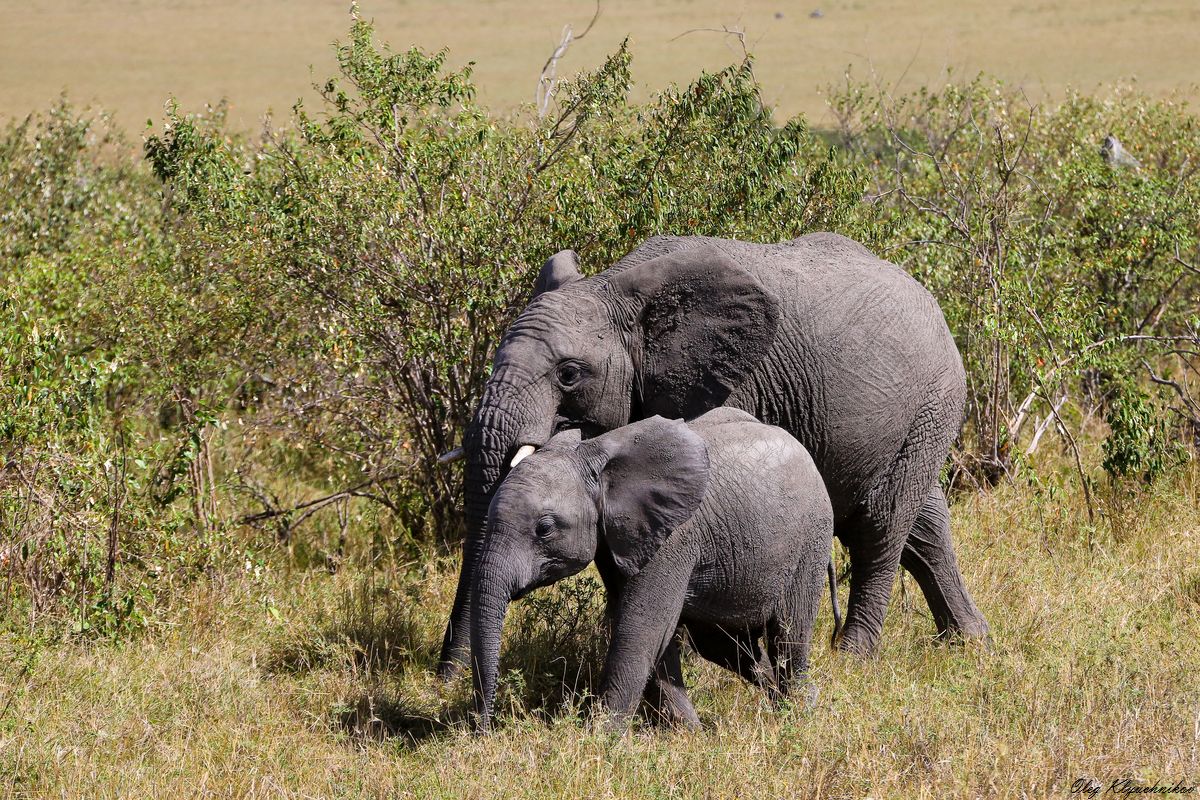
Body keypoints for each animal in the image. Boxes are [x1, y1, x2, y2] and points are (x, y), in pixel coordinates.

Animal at [436, 231, 988, 676]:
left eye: (569, 374)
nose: (446, 678)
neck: (616, 289)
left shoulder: (737, 378)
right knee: (923, 521)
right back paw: (968, 637)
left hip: (934, 397)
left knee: (881, 524)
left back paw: (853, 656)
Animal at [468, 410, 835, 729]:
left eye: (544, 528)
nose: (483, 731)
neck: (594, 457)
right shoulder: (619, 541)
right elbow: (653, 637)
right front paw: (690, 734)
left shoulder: (673, 539)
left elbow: (640, 631)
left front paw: (600, 739)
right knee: (723, 645)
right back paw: (790, 703)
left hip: (811, 540)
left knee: (789, 635)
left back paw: (799, 713)